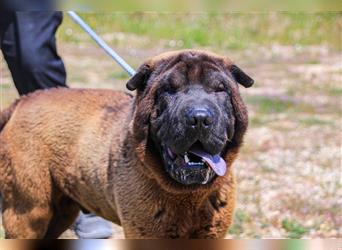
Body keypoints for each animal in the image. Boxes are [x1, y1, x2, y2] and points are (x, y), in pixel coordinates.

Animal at [0, 49, 254, 239]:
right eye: (168, 89)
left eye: (220, 89)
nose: (199, 118)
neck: (188, 196)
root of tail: (21, 102)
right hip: (29, 211)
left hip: (61, 210)